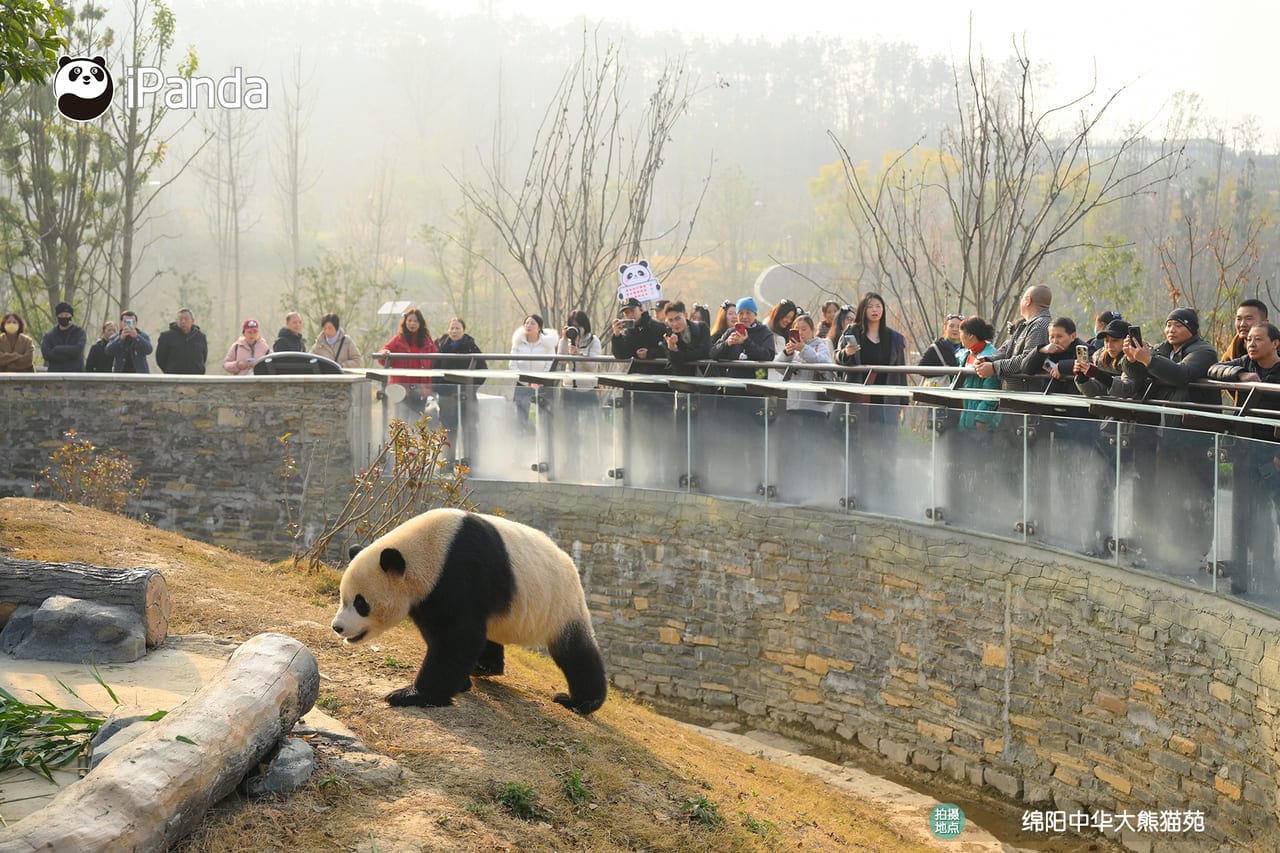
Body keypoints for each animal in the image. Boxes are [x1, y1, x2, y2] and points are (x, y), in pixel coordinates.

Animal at [331, 508, 607, 715]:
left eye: (361, 603)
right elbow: (446, 636)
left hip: (560, 604)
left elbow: (457, 638)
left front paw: (410, 694)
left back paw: (581, 702)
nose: (338, 627)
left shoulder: (459, 573)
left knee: (575, 653)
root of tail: (570, 563)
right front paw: (460, 683)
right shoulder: (428, 594)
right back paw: (485, 667)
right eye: (343, 598)